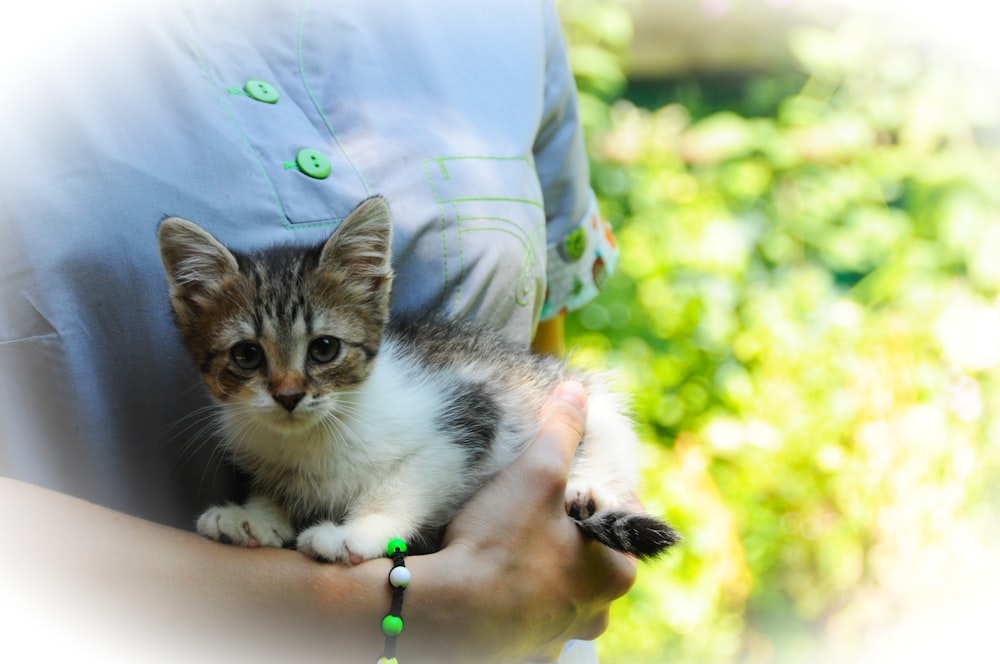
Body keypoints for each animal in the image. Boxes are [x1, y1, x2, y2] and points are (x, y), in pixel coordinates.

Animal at [158, 195, 680, 564]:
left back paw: (586, 486)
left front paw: (356, 532)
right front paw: (254, 517)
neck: (314, 438)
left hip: (577, 394)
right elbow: (274, 486)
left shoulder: (470, 408)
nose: (288, 396)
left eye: (324, 348)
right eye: (247, 355)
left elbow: (407, 479)